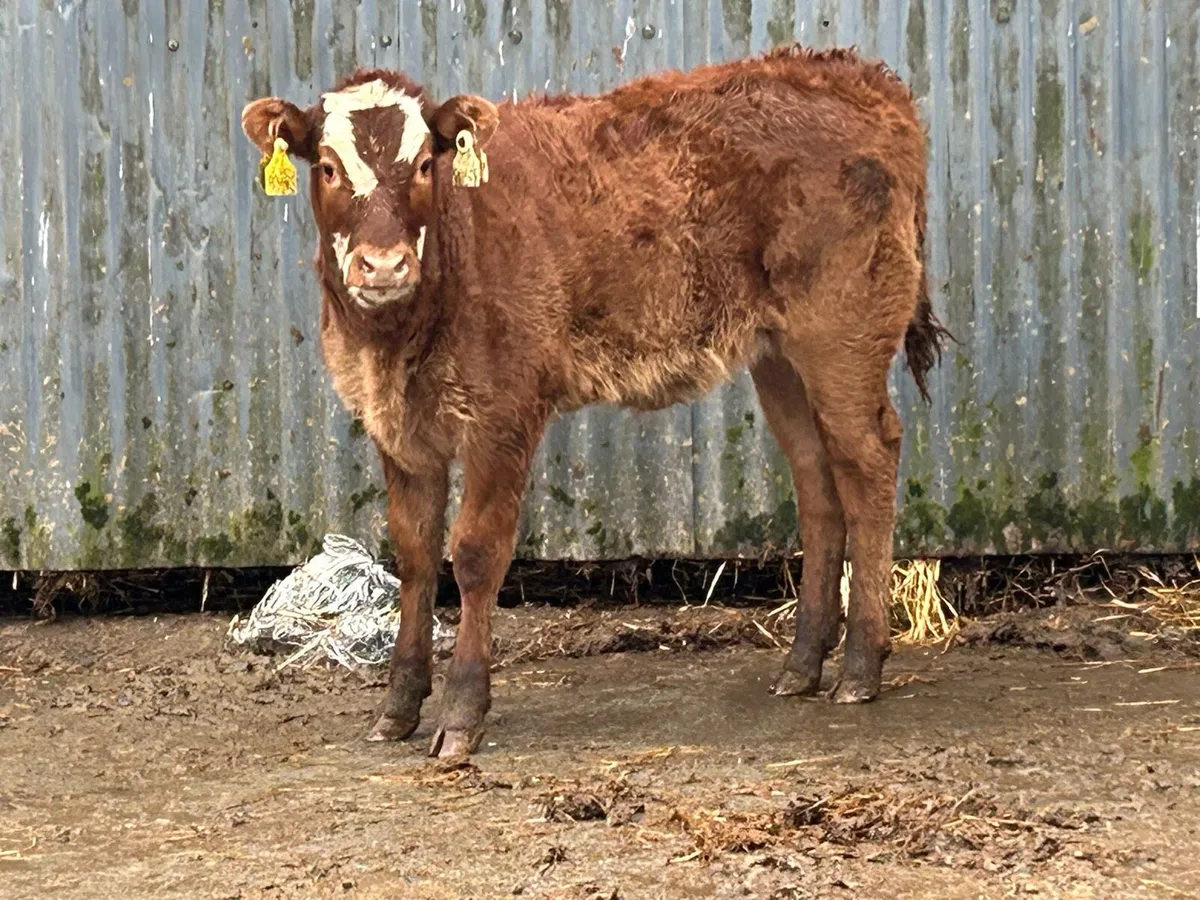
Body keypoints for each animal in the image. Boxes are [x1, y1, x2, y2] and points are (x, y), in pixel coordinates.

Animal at [241, 45, 948, 758]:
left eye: (422, 165)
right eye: (328, 167)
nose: (383, 265)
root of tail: (854, 74)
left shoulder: (504, 413)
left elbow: (474, 554)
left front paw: (462, 712)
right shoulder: (397, 427)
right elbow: (413, 554)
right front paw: (399, 705)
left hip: (842, 330)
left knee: (867, 463)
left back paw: (860, 665)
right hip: (778, 353)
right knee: (815, 478)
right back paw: (802, 664)